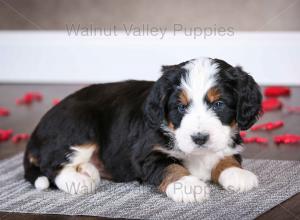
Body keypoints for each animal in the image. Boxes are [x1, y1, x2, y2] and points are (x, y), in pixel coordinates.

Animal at [23, 57, 262, 203]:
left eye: (219, 104)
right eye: (180, 107)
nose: (199, 138)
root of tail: (35, 132)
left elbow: (228, 157)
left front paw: (237, 174)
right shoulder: (147, 153)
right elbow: (171, 167)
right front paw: (187, 185)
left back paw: (88, 170)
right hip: (81, 125)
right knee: (52, 165)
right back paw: (78, 181)